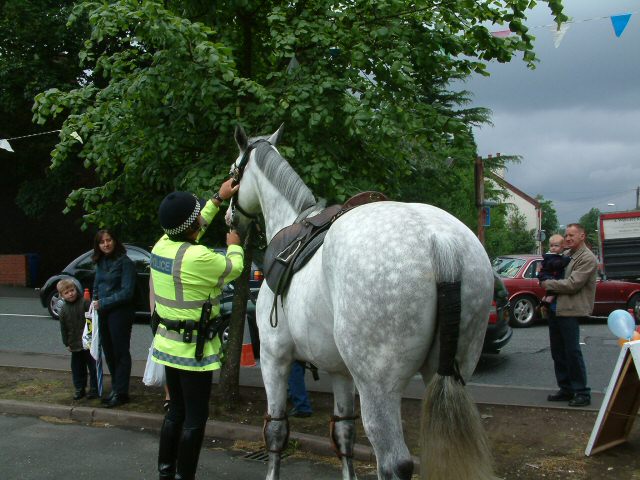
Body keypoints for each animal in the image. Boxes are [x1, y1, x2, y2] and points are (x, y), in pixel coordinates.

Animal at [225, 124, 496, 480]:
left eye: (233, 173)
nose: (229, 219)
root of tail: (439, 239)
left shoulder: (274, 357)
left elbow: (276, 431)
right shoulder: (340, 371)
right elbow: (344, 434)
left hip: (378, 387)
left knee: (394, 462)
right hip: (450, 370)